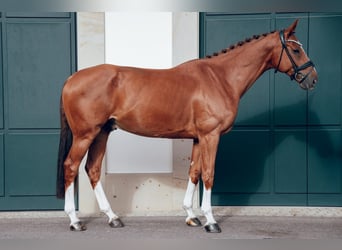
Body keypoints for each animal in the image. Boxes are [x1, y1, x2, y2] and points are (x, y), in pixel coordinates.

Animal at [56, 19, 318, 232]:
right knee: (71, 166)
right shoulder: (211, 136)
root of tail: (71, 78)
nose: (313, 78)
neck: (220, 78)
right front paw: (211, 221)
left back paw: (113, 217)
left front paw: (192, 216)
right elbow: (209, 174)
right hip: (85, 134)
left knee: (92, 169)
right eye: (296, 49)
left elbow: (194, 172)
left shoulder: (198, 138)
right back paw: (75, 221)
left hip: (102, 132)